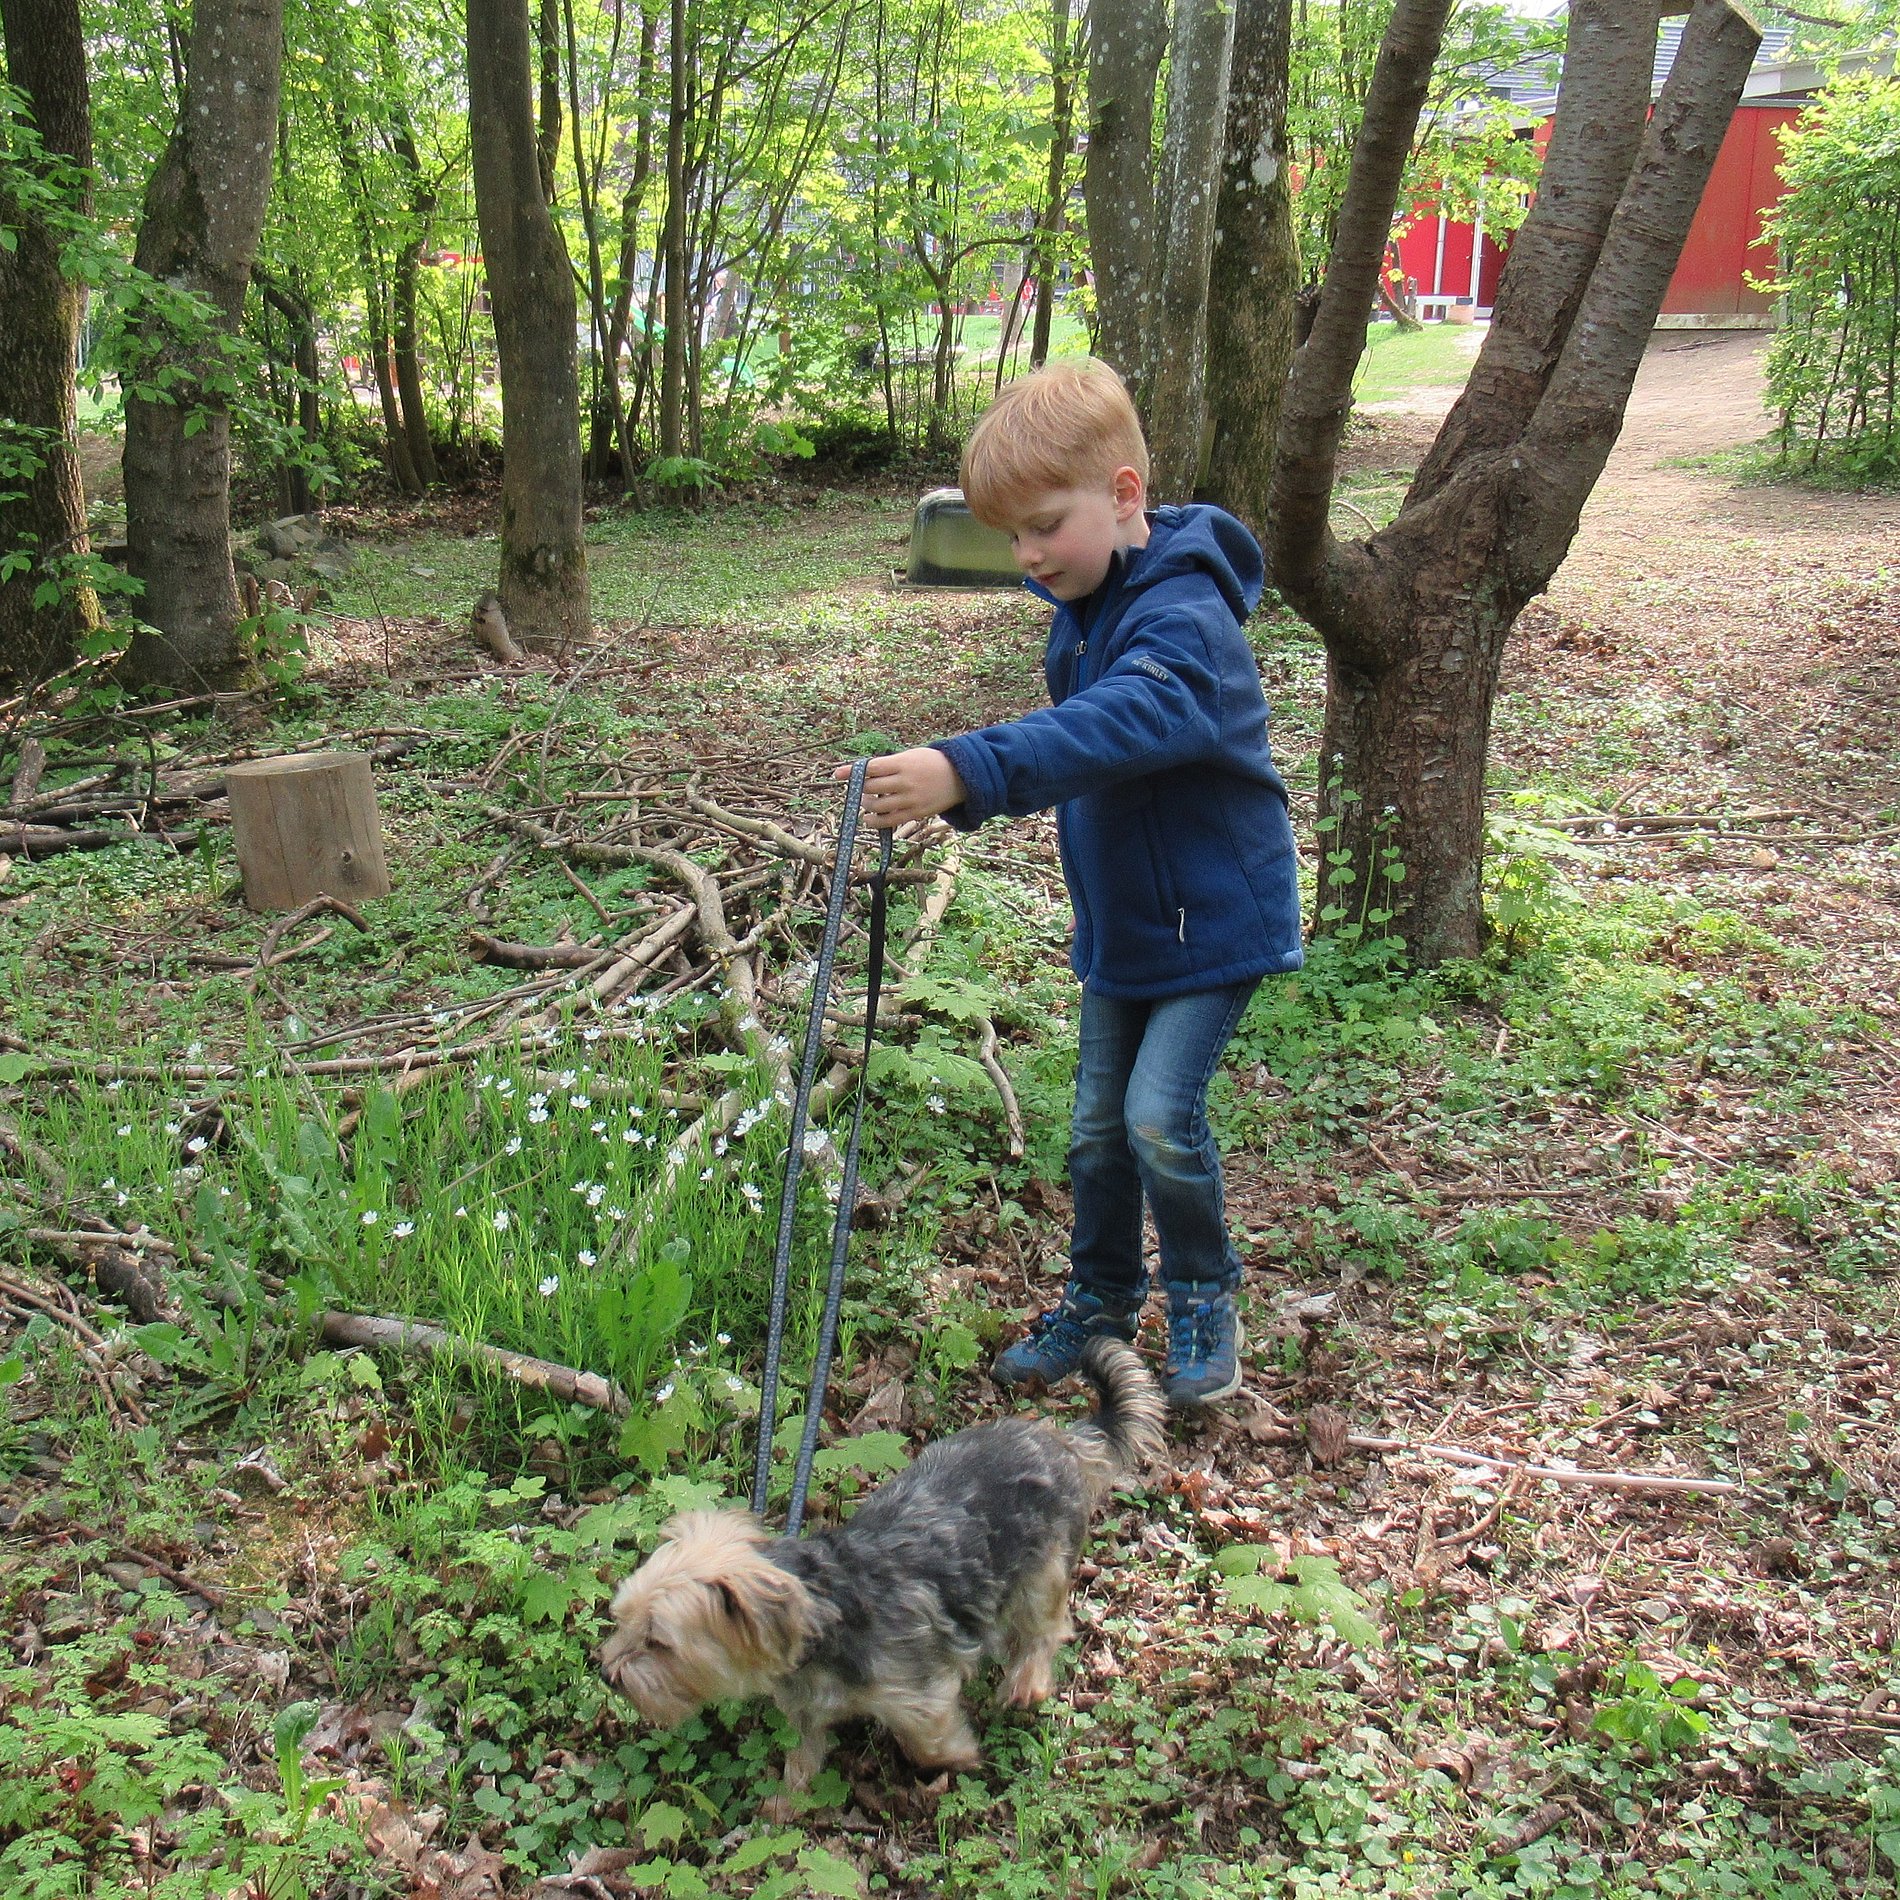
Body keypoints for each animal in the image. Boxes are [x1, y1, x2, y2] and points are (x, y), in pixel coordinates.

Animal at [598, 1336, 1164, 1809]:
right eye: (621, 1619)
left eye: (658, 1642)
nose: (607, 1674)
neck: (825, 1609)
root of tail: (1060, 1441)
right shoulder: (807, 1707)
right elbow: (803, 1757)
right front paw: (785, 1804)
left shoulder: (918, 1695)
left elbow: (929, 1741)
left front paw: (960, 1757)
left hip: (1041, 1571)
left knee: (1047, 1628)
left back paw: (1026, 1682)